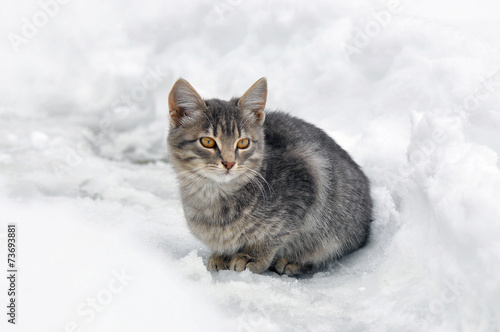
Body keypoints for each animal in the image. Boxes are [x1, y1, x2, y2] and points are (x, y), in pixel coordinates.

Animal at [167, 77, 372, 274]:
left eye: (243, 143)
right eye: (208, 142)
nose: (229, 163)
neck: (212, 196)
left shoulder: (306, 181)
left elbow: (273, 235)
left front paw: (252, 257)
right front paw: (221, 255)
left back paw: (293, 262)